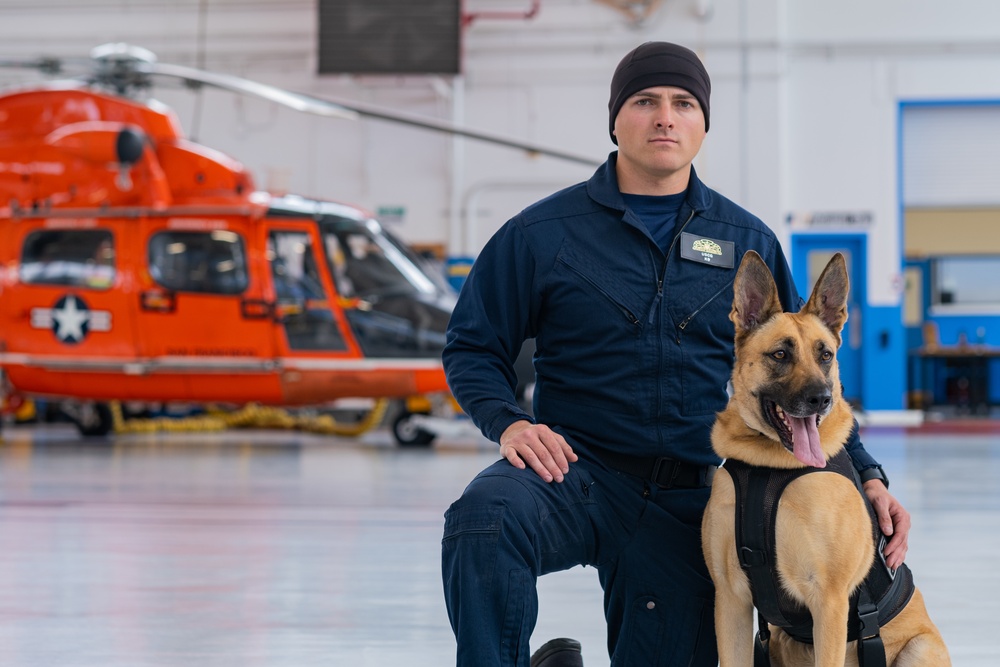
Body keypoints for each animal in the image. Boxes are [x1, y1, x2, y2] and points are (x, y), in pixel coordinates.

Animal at [700, 252, 948, 667]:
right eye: (780, 354)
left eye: (826, 355)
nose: (822, 399)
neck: (771, 467)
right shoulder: (731, 599)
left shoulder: (829, 603)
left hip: (919, 649)